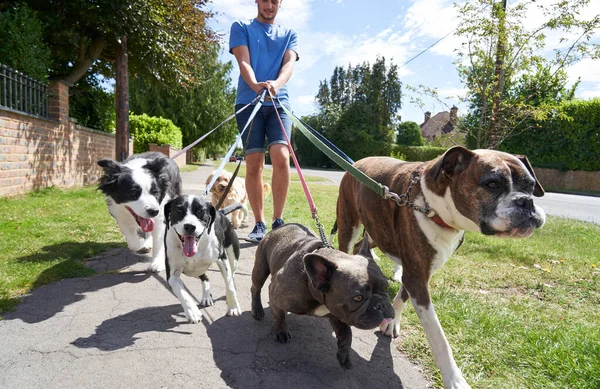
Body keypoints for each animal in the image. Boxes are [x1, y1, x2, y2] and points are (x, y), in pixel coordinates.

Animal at [164, 194, 241, 322]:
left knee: (231, 276)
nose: (190, 226)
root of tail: (220, 212)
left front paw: (233, 307)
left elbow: (229, 284)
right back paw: (206, 297)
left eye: (201, 211)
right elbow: (181, 292)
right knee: (205, 278)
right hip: (194, 272)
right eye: (178, 210)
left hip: (233, 258)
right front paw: (192, 311)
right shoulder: (172, 275)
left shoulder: (222, 260)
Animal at [336, 146, 548, 388]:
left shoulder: (416, 272)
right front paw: (454, 379)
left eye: (530, 186)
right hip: (349, 225)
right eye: (492, 184)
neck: (434, 208)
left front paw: (392, 322)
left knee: (364, 247)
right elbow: (438, 336)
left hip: (376, 232)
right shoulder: (418, 279)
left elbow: (402, 296)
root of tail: (358, 161)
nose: (526, 202)